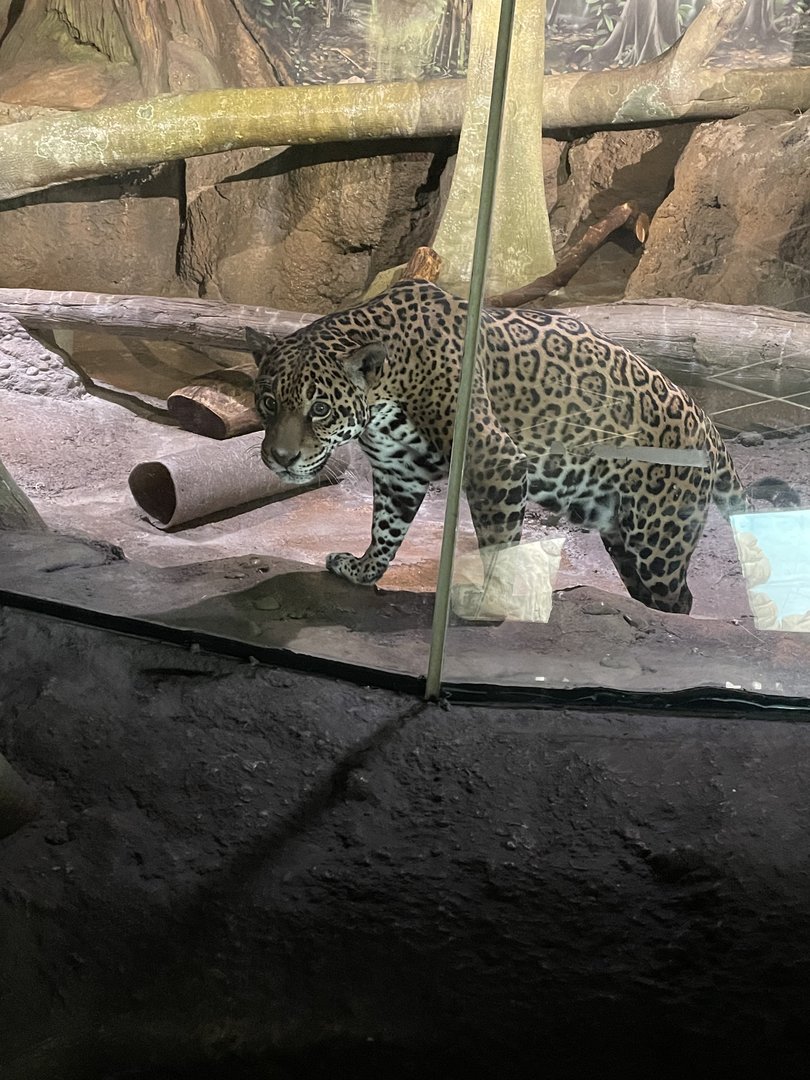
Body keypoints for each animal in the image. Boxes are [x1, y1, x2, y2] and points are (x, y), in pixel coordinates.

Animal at [247, 278, 794, 615]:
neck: (387, 387)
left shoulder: (497, 462)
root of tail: (708, 424)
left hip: (660, 536)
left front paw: (488, 602)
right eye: (268, 402)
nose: (281, 458)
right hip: (618, 531)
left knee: (679, 597)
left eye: (320, 409)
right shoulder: (397, 473)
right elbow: (384, 530)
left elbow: (497, 544)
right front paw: (361, 570)